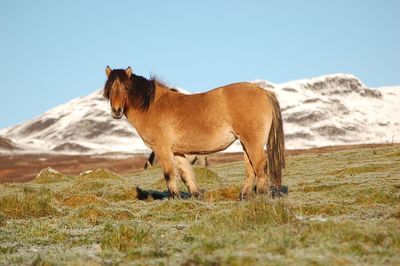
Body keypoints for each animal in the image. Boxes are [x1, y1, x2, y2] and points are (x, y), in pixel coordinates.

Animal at [103, 66, 284, 200]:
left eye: (126, 88)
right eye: (110, 89)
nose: (116, 111)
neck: (152, 106)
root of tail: (264, 92)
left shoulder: (162, 149)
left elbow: (169, 174)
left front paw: (173, 198)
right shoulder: (177, 152)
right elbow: (186, 175)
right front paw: (196, 196)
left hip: (252, 142)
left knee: (260, 166)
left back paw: (261, 196)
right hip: (246, 143)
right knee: (250, 168)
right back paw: (244, 196)